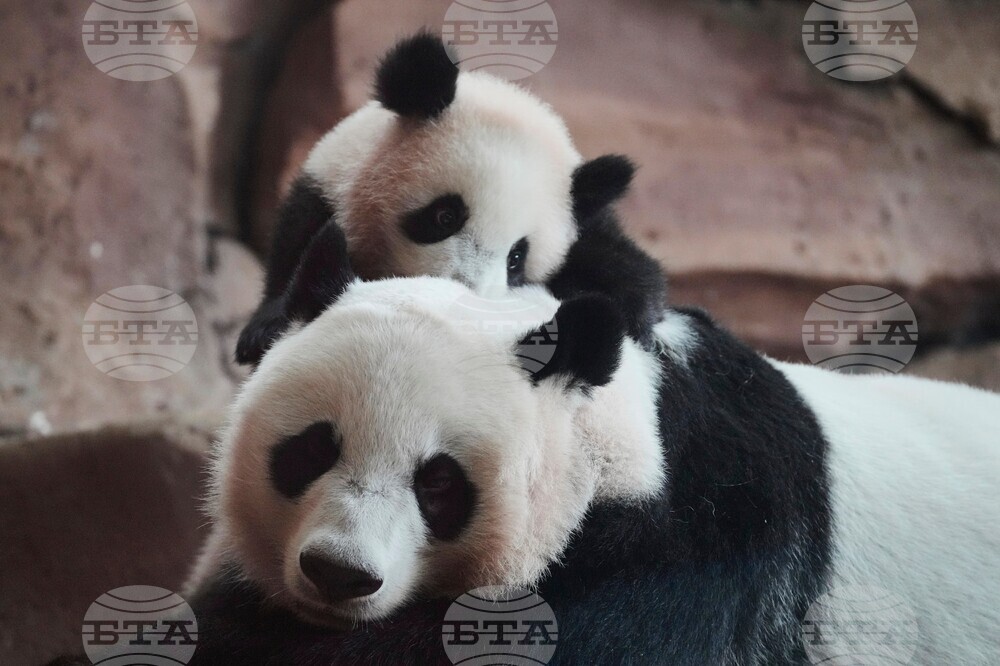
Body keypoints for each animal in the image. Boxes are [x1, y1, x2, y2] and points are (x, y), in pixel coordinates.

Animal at [235, 32, 666, 366]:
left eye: (516, 258)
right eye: (445, 216)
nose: (463, 303)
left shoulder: (588, 229)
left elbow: (624, 269)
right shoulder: (331, 184)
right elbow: (299, 243)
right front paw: (266, 328)